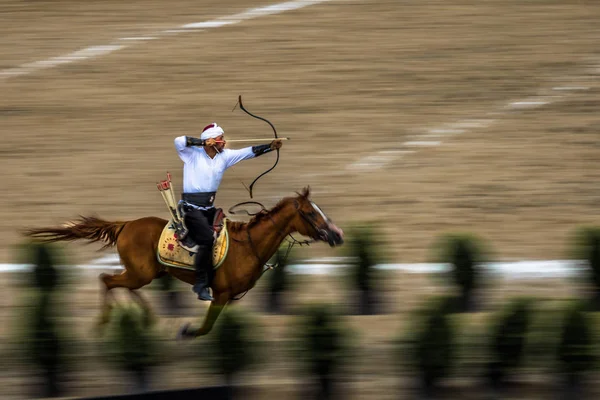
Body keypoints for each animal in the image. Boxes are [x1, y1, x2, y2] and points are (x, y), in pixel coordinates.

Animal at [24, 187, 342, 338]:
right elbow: (206, 328)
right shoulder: (221, 294)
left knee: (120, 283)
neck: (248, 245)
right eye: (310, 213)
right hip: (141, 273)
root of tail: (125, 225)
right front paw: (185, 331)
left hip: (146, 272)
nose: (337, 234)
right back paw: (105, 323)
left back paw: (147, 318)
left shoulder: (231, 297)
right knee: (107, 279)